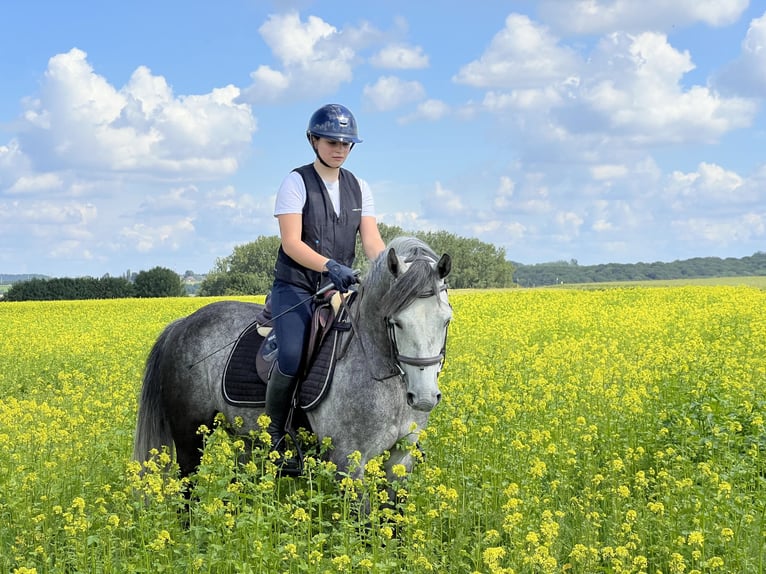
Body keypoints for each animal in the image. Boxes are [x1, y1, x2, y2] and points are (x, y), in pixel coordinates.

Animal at [133, 236, 452, 488]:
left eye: (446, 320)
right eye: (396, 322)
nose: (424, 397)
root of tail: (182, 324)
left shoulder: (401, 460)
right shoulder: (349, 461)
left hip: (243, 437)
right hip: (190, 436)